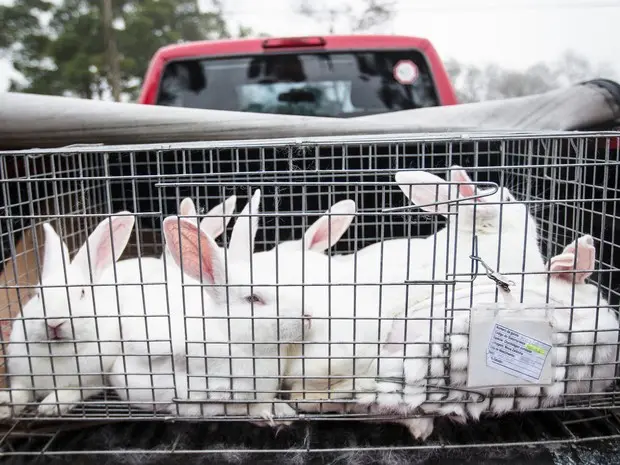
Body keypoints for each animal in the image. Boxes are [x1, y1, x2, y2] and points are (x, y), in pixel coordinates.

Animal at [0, 211, 136, 416]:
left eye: (82, 293)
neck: (57, 355)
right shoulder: (21, 378)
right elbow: (19, 393)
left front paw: (49, 406)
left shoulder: (92, 383)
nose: (54, 323)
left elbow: (70, 392)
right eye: (38, 294)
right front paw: (5, 406)